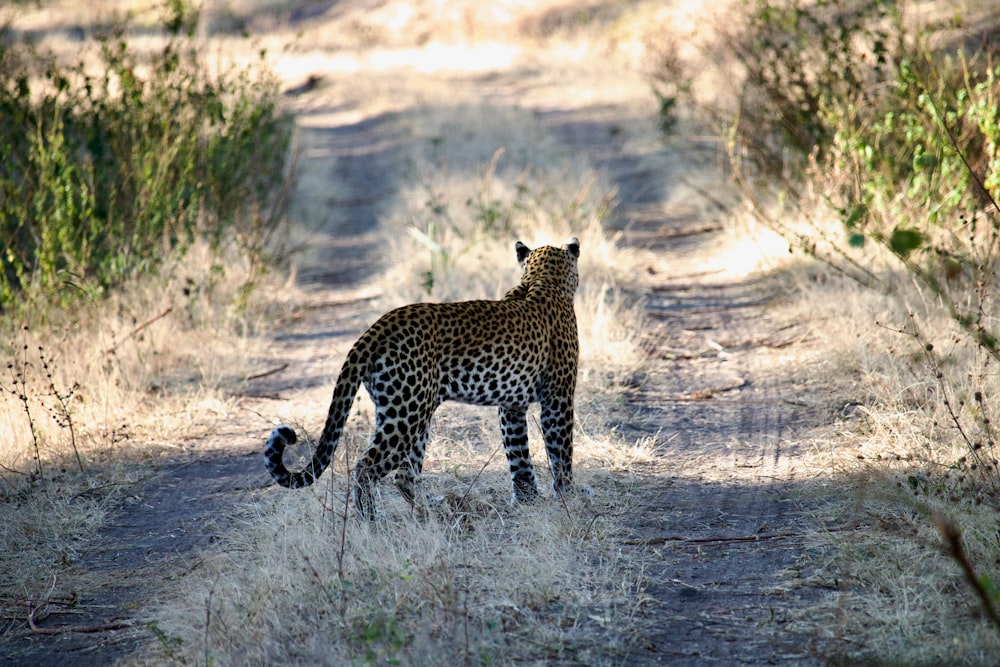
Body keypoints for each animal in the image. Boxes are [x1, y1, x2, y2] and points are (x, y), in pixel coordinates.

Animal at [266, 237, 584, 520]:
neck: (543, 279)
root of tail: (375, 329)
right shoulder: (558, 396)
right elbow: (561, 448)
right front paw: (569, 494)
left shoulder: (511, 405)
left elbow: (518, 452)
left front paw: (527, 497)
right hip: (407, 416)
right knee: (367, 466)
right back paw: (370, 518)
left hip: (405, 411)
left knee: (404, 475)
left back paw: (431, 507)